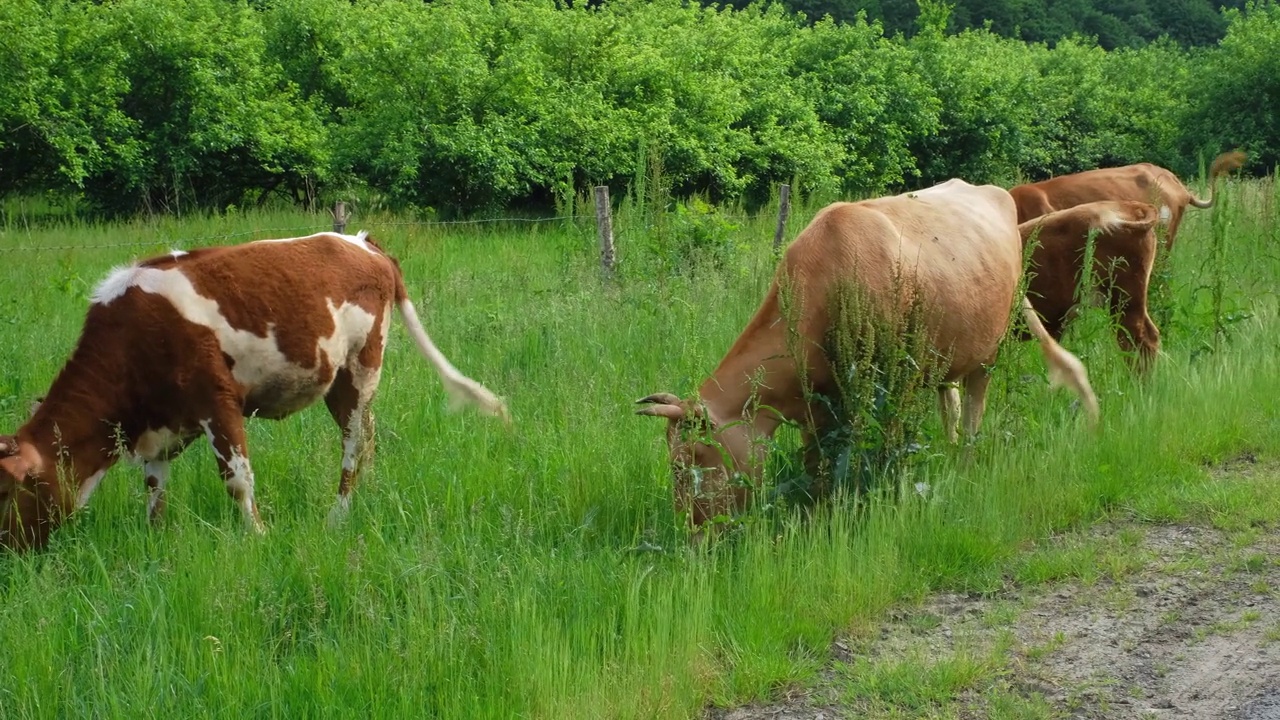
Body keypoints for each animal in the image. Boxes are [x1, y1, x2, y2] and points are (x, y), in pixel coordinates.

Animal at [0, 229, 509, 548]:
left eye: (5, 493)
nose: (9, 552)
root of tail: (362, 243)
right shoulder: (161, 424)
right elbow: (155, 487)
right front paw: (155, 540)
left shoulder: (217, 401)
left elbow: (237, 479)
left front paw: (257, 538)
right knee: (369, 438)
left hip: (360, 368)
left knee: (353, 443)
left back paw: (338, 516)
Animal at [634, 179, 1095, 527]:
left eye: (692, 458)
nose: (695, 530)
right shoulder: (816, 405)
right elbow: (817, 464)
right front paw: (819, 510)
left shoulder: (889, 386)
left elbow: (888, 450)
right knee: (948, 398)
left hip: (986, 352)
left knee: (972, 413)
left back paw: (963, 462)